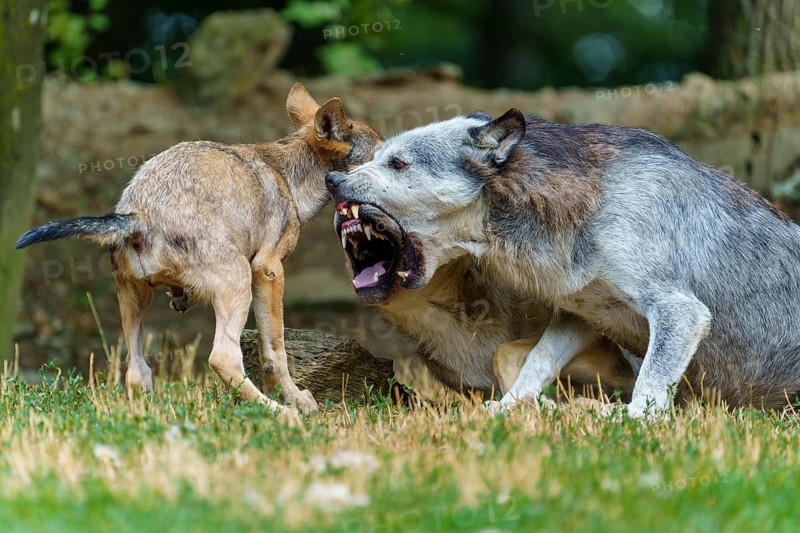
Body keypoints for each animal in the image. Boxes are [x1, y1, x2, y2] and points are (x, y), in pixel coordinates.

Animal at [17, 83, 381, 416]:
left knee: (137, 370)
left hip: (135, 300)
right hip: (238, 281)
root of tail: (140, 214)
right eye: (382, 156)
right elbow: (274, 351)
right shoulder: (269, 271)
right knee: (222, 359)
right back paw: (280, 413)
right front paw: (296, 399)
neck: (290, 175)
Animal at [326, 109, 800, 416]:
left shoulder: (680, 312)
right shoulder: (579, 316)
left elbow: (644, 400)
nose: (331, 179)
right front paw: (510, 409)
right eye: (376, 157)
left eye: (397, 163)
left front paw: (616, 418)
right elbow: (533, 365)